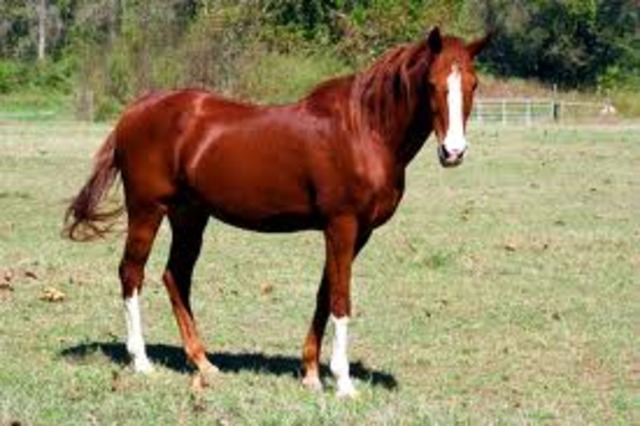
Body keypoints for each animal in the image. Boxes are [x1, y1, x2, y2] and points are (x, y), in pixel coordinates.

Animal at [64, 27, 489, 397]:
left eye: (472, 84)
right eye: (431, 84)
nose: (453, 152)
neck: (364, 129)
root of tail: (135, 110)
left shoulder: (355, 232)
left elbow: (324, 295)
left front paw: (312, 374)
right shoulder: (342, 225)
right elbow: (341, 299)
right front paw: (343, 383)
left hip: (189, 216)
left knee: (176, 278)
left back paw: (203, 362)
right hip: (147, 209)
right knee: (131, 273)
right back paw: (141, 361)